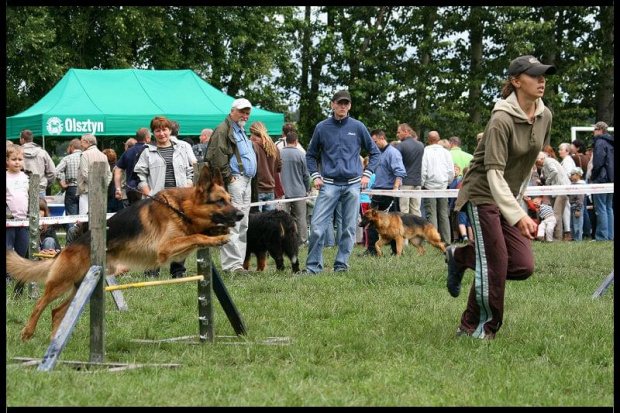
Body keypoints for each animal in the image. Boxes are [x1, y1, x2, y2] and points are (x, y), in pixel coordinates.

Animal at [8, 165, 245, 342]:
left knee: (57, 311)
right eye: (220, 201)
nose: (241, 214)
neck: (181, 208)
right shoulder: (166, 248)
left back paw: (55, 339)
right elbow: (196, 236)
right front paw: (217, 238)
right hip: (61, 283)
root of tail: (66, 249)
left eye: (229, 199)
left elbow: (197, 234)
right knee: (40, 304)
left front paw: (217, 233)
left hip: (79, 287)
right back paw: (28, 332)